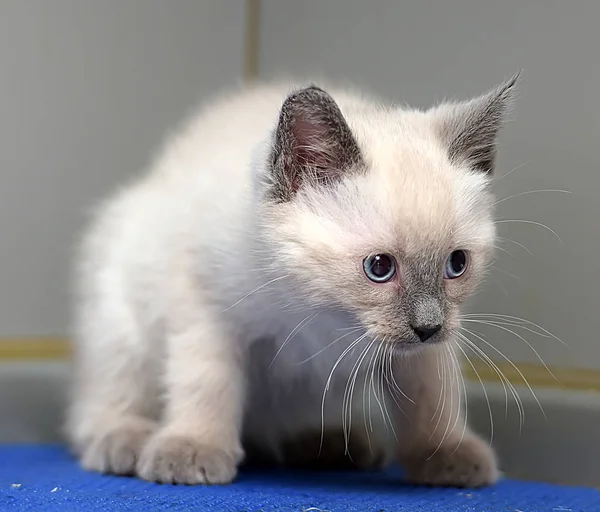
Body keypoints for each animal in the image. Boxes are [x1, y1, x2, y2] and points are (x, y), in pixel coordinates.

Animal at [64, 76, 516, 488]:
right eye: (379, 267)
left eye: (456, 264)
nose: (428, 326)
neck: (320, 313)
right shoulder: (206, 311)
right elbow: (208, 383)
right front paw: (192, 449)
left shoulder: (423, 353)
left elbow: (432, 400)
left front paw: (448, 456)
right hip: (121, 328)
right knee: (101, 402)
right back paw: (125, 441)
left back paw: (331, 446)